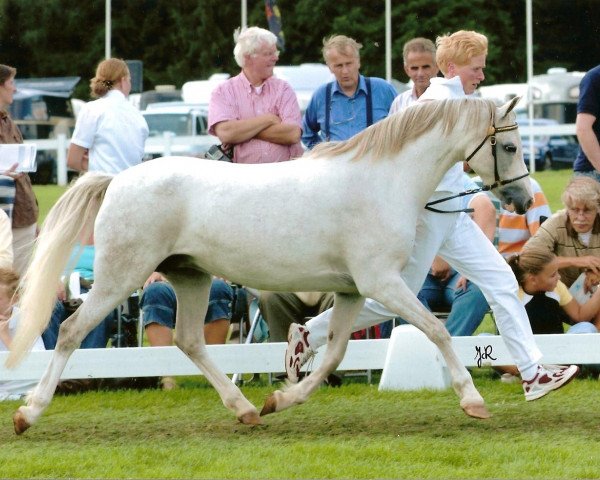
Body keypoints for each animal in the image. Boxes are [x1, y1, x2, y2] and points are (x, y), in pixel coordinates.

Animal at [5, 95, 528, 434]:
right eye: (508, 147)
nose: (522, 198)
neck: (382, 179)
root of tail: (116, 180)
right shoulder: (382, 282)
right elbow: (437, 331)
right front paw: (473, 402)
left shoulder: (353, 290)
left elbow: (334, 351)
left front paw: (281, 398)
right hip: (122, 276)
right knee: (71, 331)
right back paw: (27, 414)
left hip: (190, 276)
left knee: (189, 340)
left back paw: (246, 409)